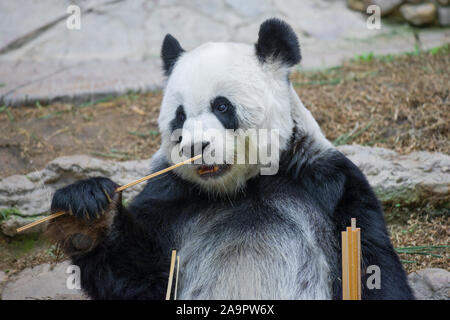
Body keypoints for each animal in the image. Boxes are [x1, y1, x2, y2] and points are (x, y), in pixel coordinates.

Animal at [47, 18, 414, 300]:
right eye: (179, 117)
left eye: (222, 106)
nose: (195, 147)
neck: (241, 188)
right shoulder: (170, 195)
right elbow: (142, 278)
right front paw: (88, 213)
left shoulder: (325, 182)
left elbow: (371, 265)